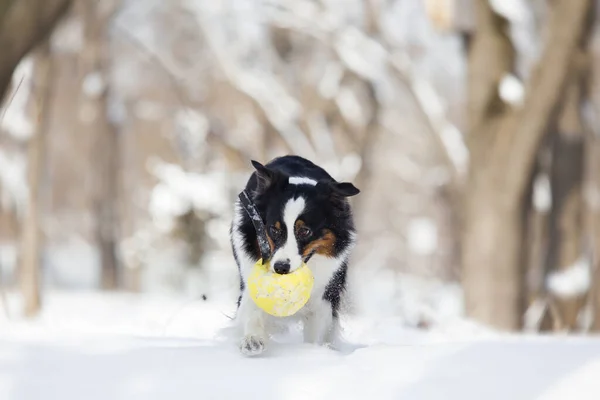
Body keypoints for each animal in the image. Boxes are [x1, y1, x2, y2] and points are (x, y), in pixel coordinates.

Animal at [229, 155, 358, 356]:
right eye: (274, 229)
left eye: (305, 231)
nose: (281, 268)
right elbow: (252, 310)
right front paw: (253, 339)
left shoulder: (324, 297)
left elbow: (317, 332)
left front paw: (313, 352)